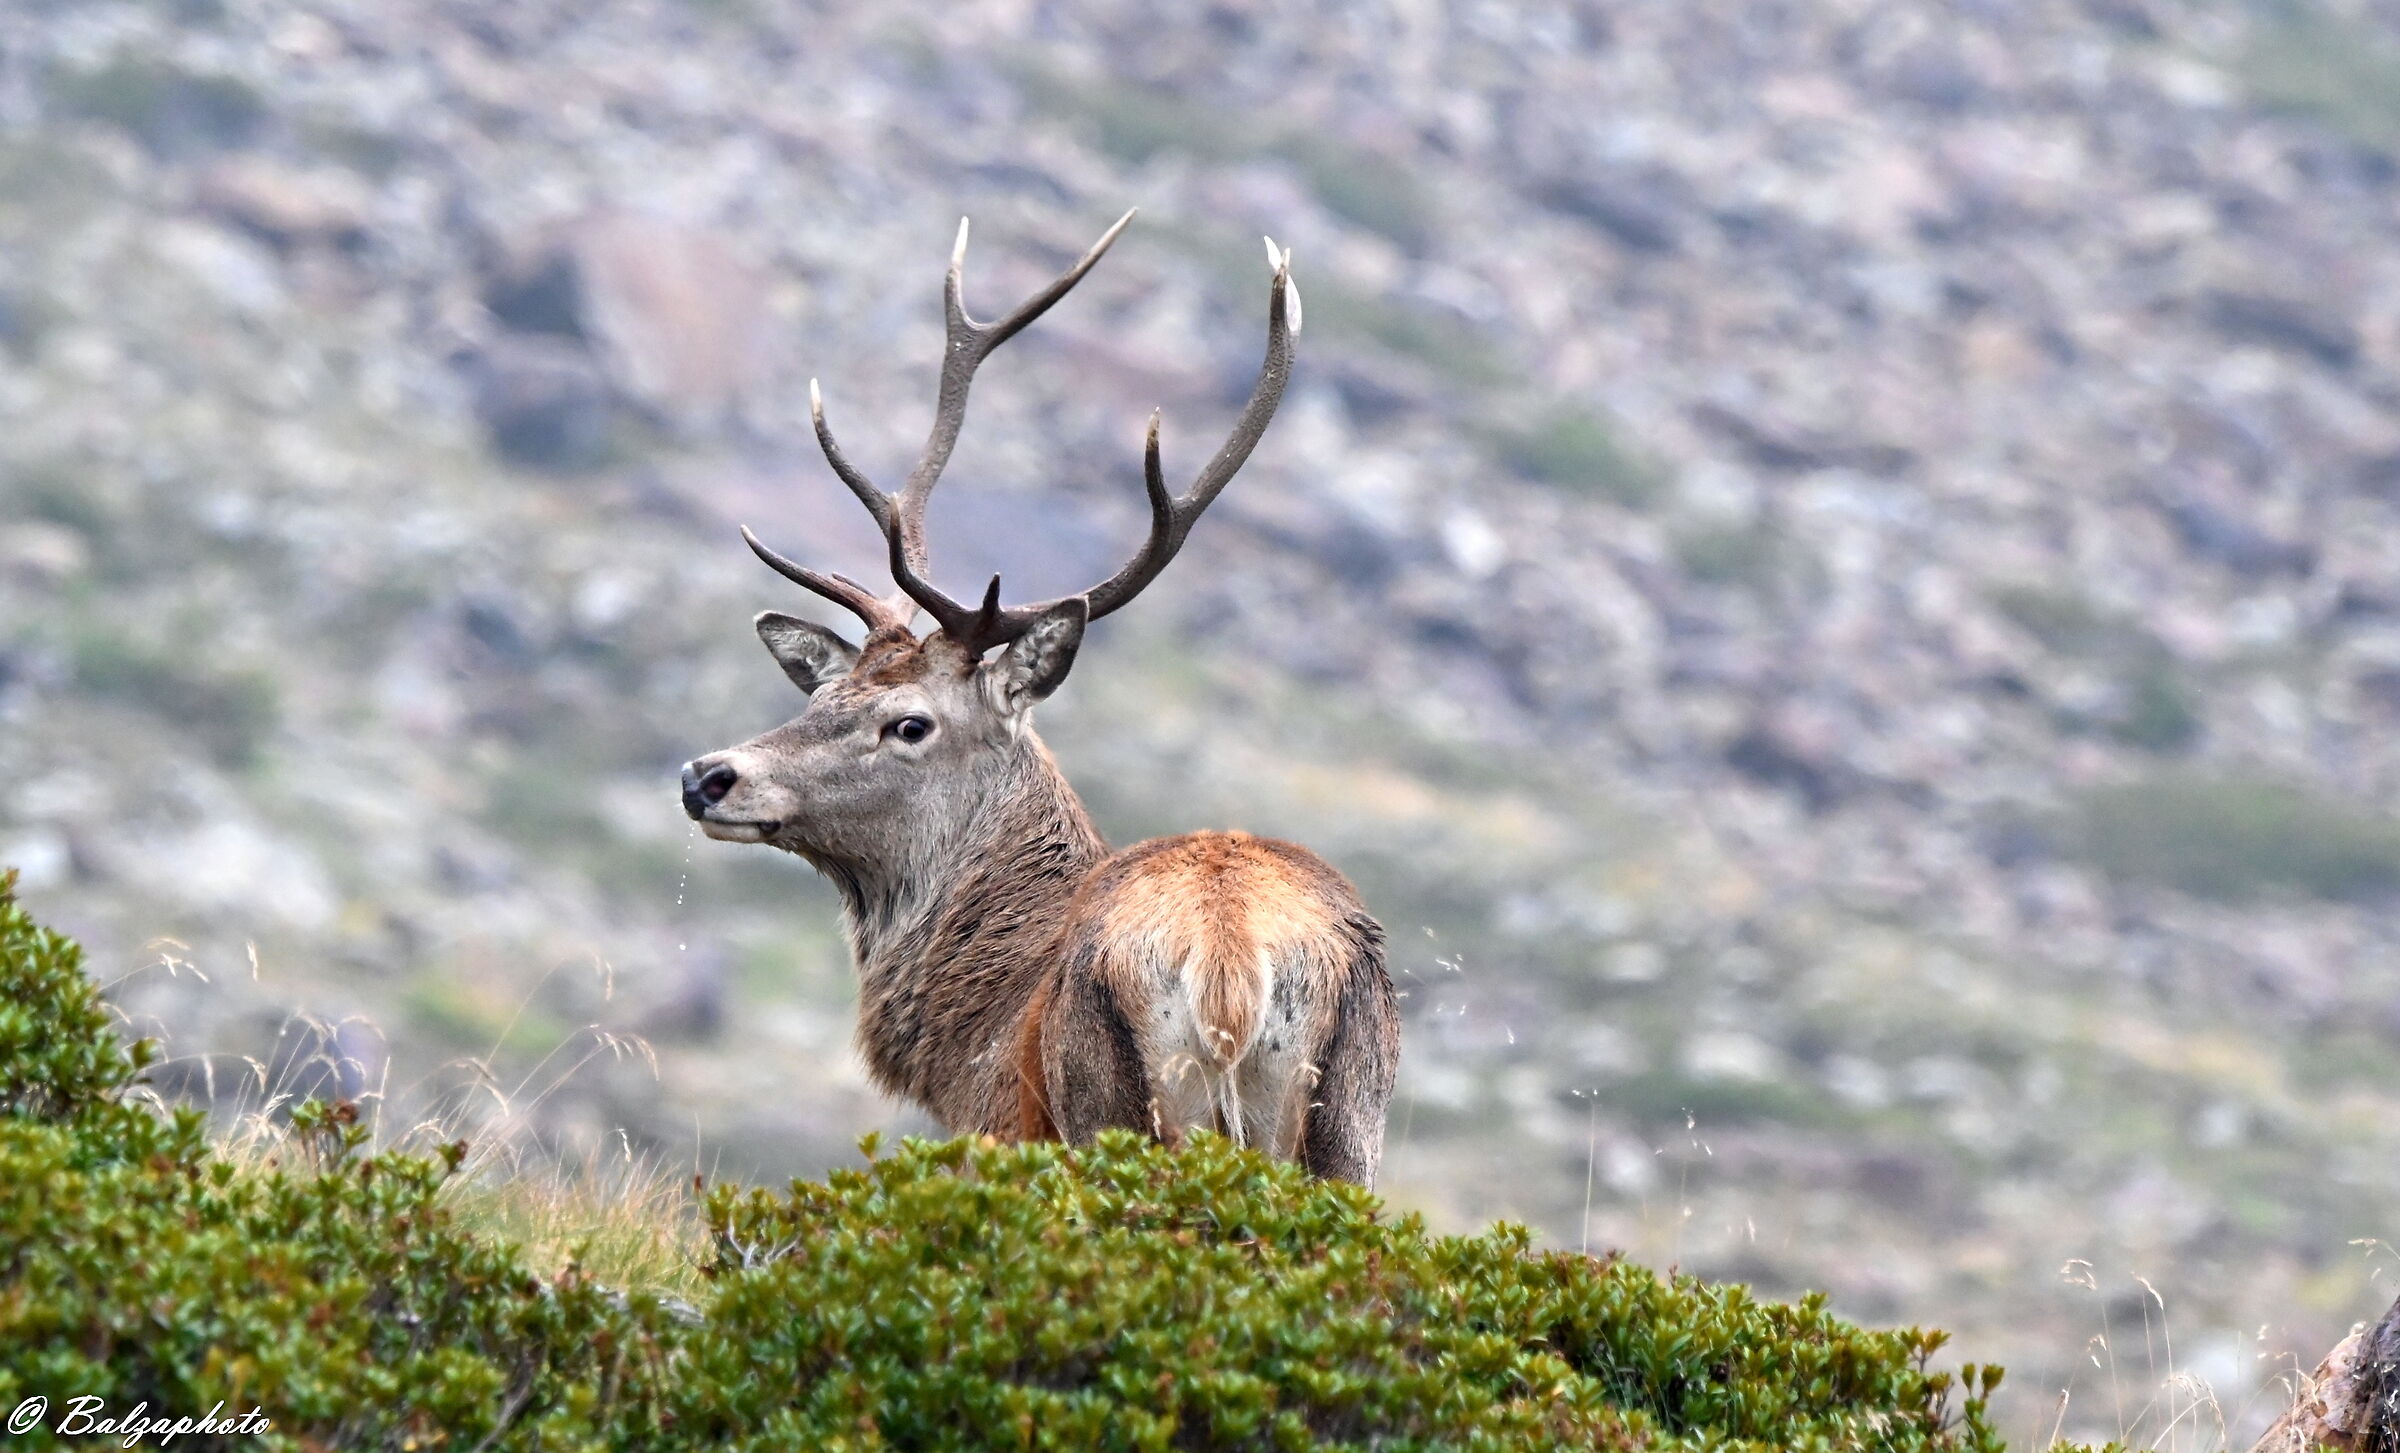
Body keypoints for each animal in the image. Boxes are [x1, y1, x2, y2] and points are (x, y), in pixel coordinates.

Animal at [679, 212, 1400, 1185]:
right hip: (1352, 1120)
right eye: (823, 695)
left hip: (1108, 1105)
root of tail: (1229, 954)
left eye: (909, 723)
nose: (707, 775)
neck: (970, 1033)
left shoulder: (1002, 1131)